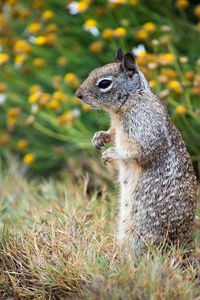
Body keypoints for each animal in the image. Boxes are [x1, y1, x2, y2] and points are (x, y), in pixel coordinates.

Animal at [76, 48, 198, 254]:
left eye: (104, 83)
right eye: (93, 71)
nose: (78, 95)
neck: (132, 99)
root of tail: (184, 245)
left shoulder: (144, 130)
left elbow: (136, 152)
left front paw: (110, 154)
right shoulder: (117, 127)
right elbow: (111, 133)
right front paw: (99, 137)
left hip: (142, 228)